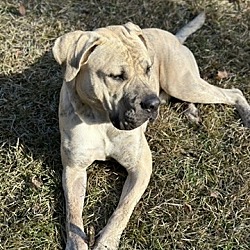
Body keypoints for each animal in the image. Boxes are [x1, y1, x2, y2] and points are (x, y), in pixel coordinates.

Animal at [52, 14, 250, 250]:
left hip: (183, 84)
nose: (152, 104)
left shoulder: (141, 166)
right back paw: (191, 111)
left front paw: (107, 241)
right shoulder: (74, 169)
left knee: (233, 92)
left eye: (148, 69)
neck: (101, 120)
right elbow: (73, 213)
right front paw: (77, 243)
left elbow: (123, 208)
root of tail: (173, 37)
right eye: (116, 76)